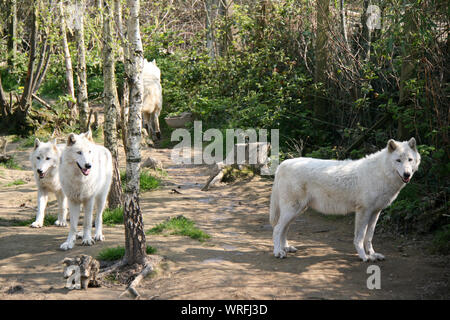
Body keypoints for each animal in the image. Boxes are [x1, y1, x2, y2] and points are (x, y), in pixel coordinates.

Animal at [270, 137, 422, 260]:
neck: (381, 173)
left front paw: (373, 254)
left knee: (284, 229)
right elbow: (360, 237)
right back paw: (278, 252)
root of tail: (283, 164)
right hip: (293, 210)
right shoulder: (363, 211)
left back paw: (286, 248)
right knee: (277, 229)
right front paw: (364, 256)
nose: (407, 174)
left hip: (297, 211)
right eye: (398, 160)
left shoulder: (375, 212)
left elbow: (369, 237)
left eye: (410, 160)